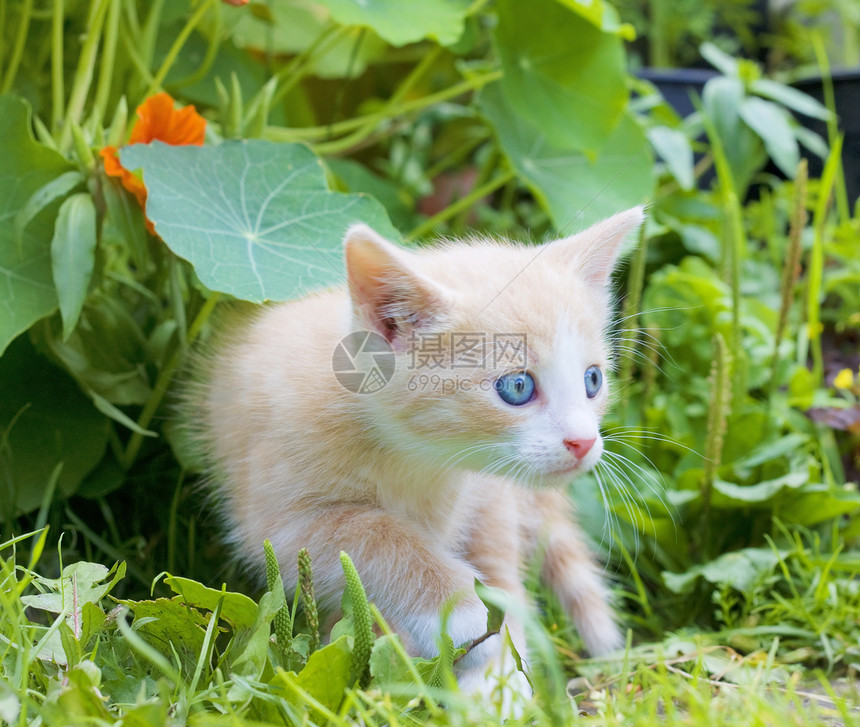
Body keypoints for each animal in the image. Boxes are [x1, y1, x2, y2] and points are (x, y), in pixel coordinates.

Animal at [186, 206, 644, 692]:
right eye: (517, 387)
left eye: (593, 380)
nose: (584, 441)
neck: (414, 457)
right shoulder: (277, 518)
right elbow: (376, 536)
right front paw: (463, 613)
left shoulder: (467, 496)